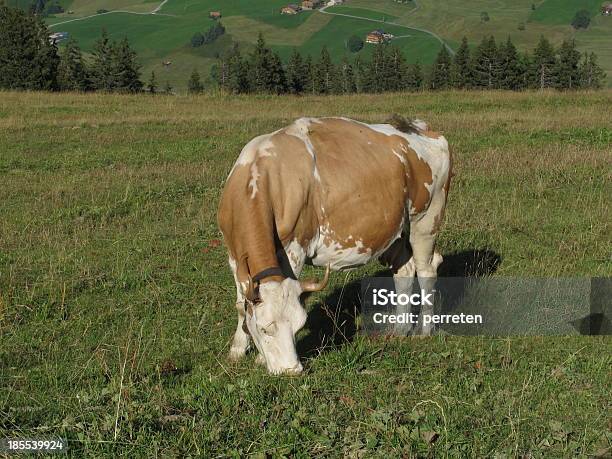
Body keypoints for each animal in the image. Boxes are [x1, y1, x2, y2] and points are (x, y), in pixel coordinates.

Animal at [218, 114, 452, 374]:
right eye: (265, 328)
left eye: (299, 326)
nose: (292, 371)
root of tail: (420, 127)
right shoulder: (234, 256)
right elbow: (241, 304)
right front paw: (237, 350)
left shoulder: (294, 250)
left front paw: (258, 358)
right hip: (394, 229)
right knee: (405, 270)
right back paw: (400, 329)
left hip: (426, 219)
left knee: (427, 270)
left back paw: (424, 330)